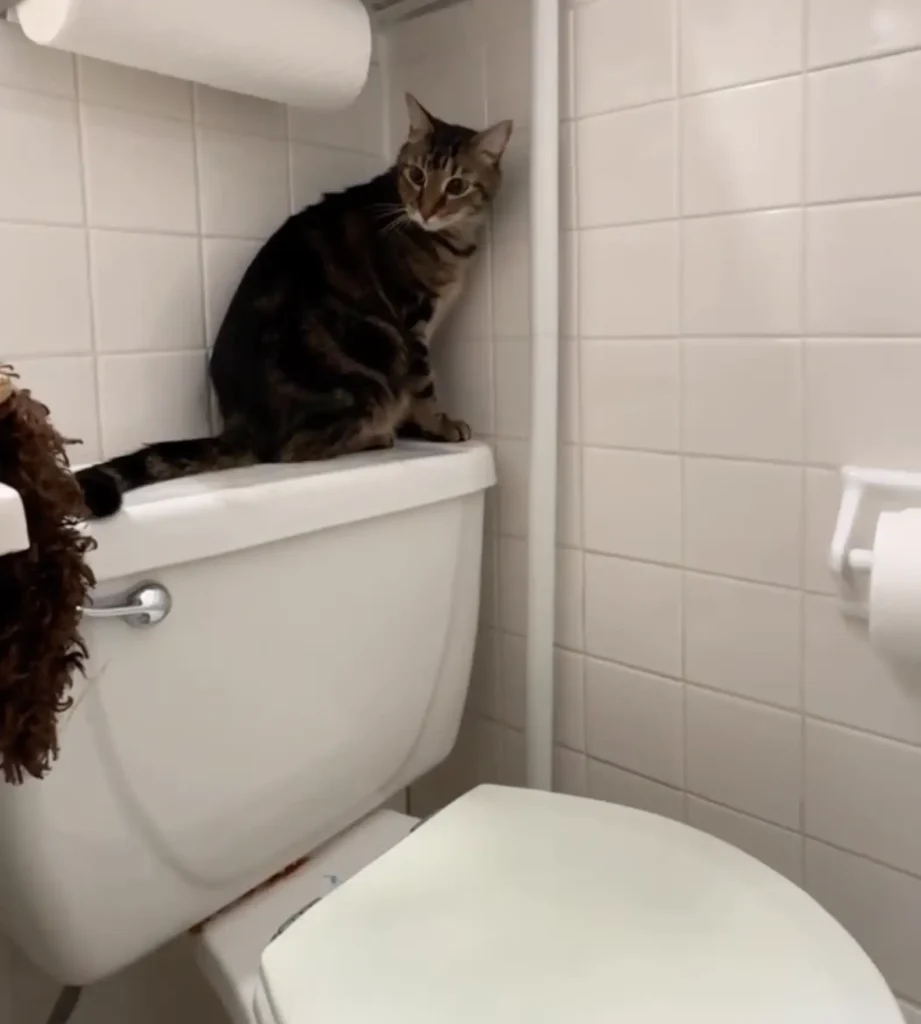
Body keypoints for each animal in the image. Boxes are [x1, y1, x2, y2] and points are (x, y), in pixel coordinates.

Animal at [76, 94, 512, 519]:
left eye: (456, 185)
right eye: (417, 175)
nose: (427, 208)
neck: (447, 240)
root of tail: (243, 420)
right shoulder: (413, 322)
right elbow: (423, 385)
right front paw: (440, 424)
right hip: (370, 367)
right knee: (292, 450)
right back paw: (377, 436)